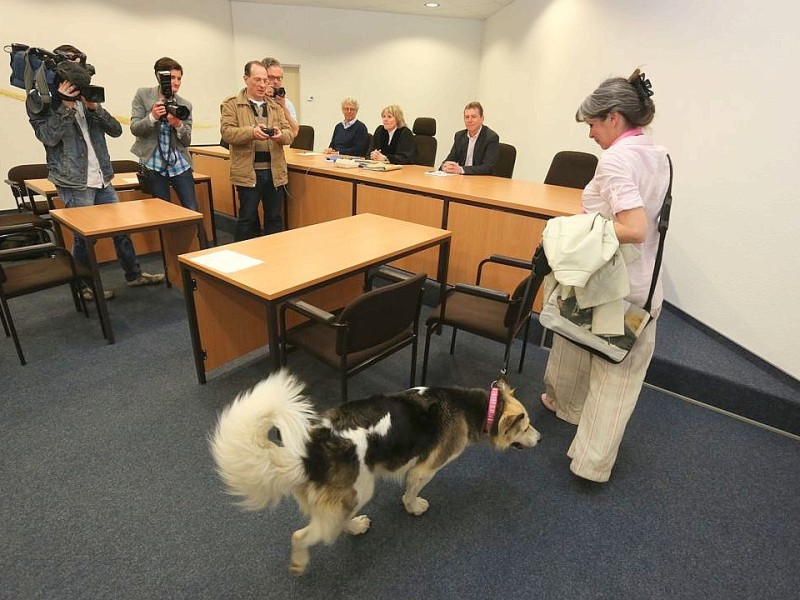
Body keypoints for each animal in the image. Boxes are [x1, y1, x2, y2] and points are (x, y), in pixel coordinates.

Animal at [209, 368, 540, 576]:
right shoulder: (426, 469)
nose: (540, 439)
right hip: (360, 490)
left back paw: (355, 527)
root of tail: (313, 449)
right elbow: (412, 492)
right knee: (303, 535)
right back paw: (306, 557)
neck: (474, 407)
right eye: (525, 427)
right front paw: (413, 507)